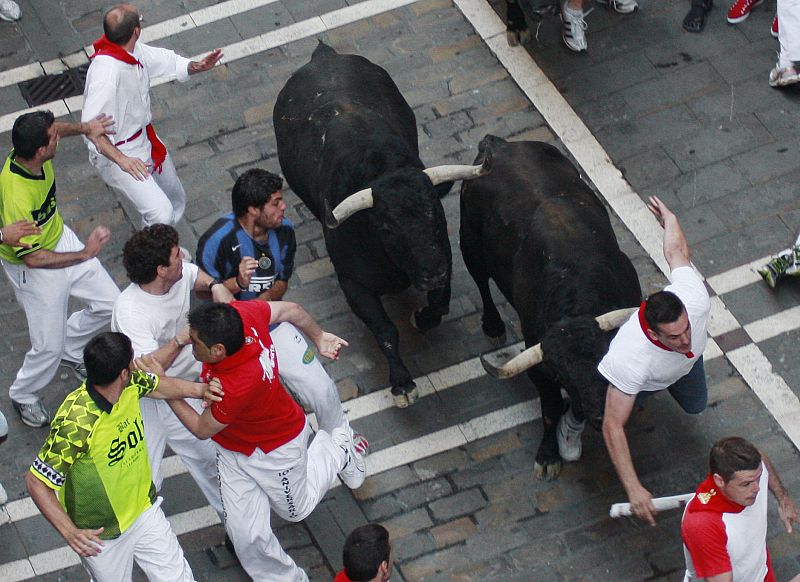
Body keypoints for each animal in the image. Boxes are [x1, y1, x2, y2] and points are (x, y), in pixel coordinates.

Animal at [274, 43, 488, 408]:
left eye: (435, 212)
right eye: (386, 228)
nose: (432, 273)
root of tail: (323, 56)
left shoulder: (444, 254)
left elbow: (440, 303)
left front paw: (422, 317)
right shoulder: (353, 282)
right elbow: (385, 330)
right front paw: (402, 383)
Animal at [460, 136, 640, 480]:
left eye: (604, 359)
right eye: (563, 375)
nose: (600, 417)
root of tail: (497, 145)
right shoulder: (540, 366)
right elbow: (551, 409)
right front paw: (548, 456)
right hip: (469, 246)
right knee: (480, 281)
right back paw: (494, 327)